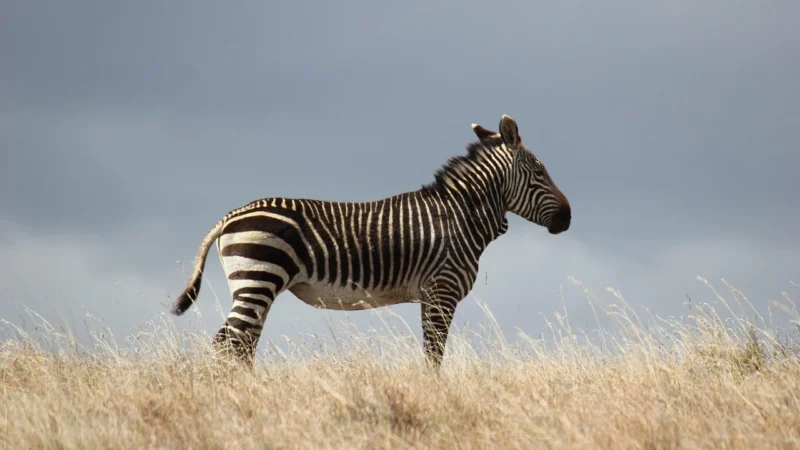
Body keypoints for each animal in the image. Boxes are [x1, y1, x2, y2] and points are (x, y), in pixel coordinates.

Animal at [171, 114, 571, 367]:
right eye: (539, 171)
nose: (568, 218)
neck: (460, 216)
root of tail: (231, 216)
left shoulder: (430, 295)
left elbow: (431, 352)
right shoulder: (441, 291)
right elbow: (434, 354)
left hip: (256, 285)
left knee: (242, 344)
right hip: (259, 277)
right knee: (228, 343)